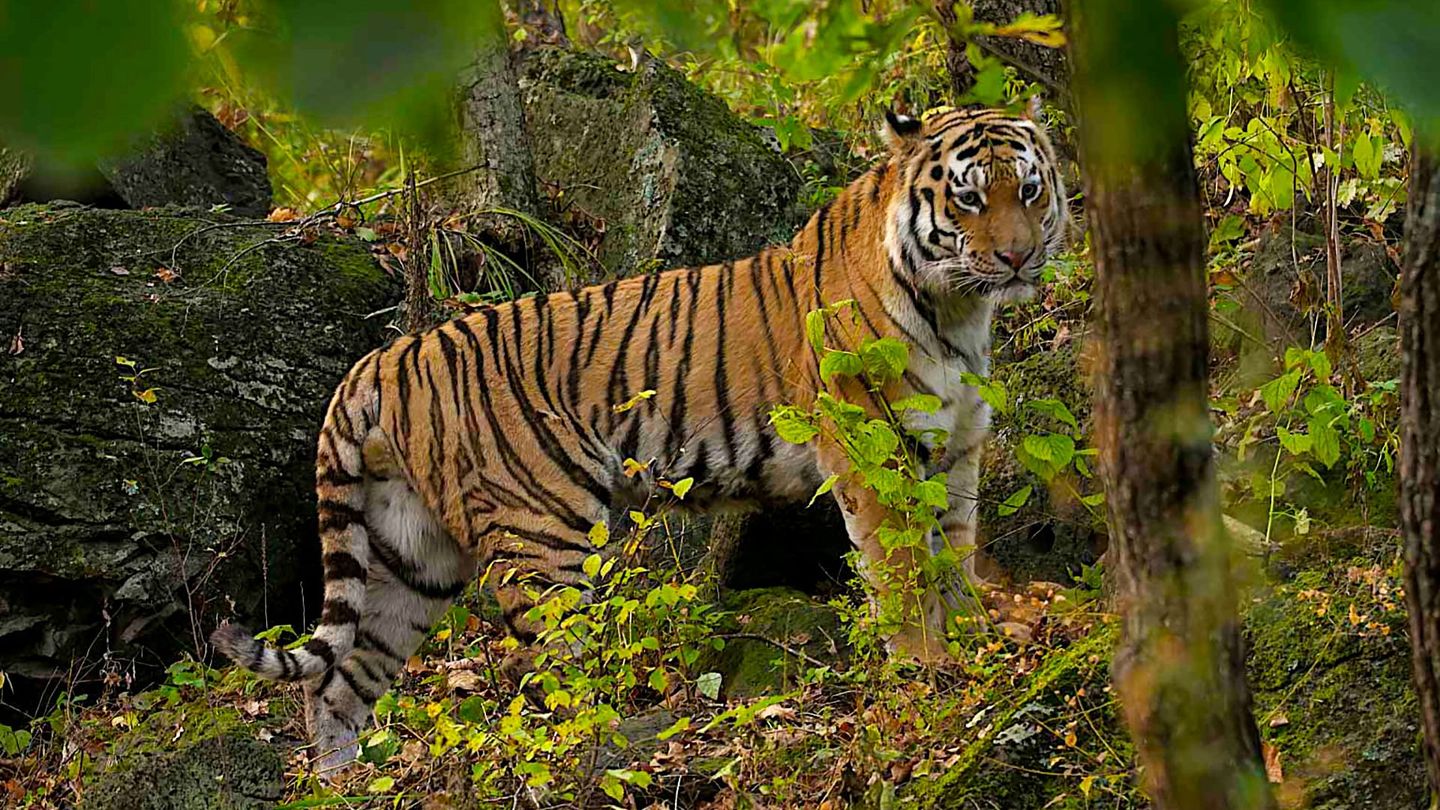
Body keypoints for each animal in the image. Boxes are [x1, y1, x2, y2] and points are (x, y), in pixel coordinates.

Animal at [211, 104, 1069, 769]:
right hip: (540, 536)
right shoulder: (873, 452)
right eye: (967, 200)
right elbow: (904, 573)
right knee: (552, 674)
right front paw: (928, 673)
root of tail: (381, 360)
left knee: (339, 679)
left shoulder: (955, 450)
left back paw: (342, 780)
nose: (1018, 255)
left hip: (410, 554)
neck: (959, 309)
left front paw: (979, 651)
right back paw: (611, 747)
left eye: (1028, 191)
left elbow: (955, 557)